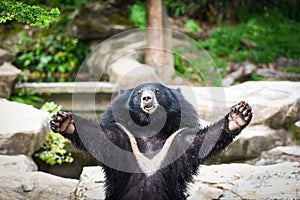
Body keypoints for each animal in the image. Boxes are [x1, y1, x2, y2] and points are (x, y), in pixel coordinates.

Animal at [50, 82, 252, 199]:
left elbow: (199, 141)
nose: (147, 98)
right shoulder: (124, 139)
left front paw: (239, 115)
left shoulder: (175, 141)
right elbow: (101, 137)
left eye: (157, 91)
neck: (150, 128)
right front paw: (63, 121)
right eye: (139, 94)